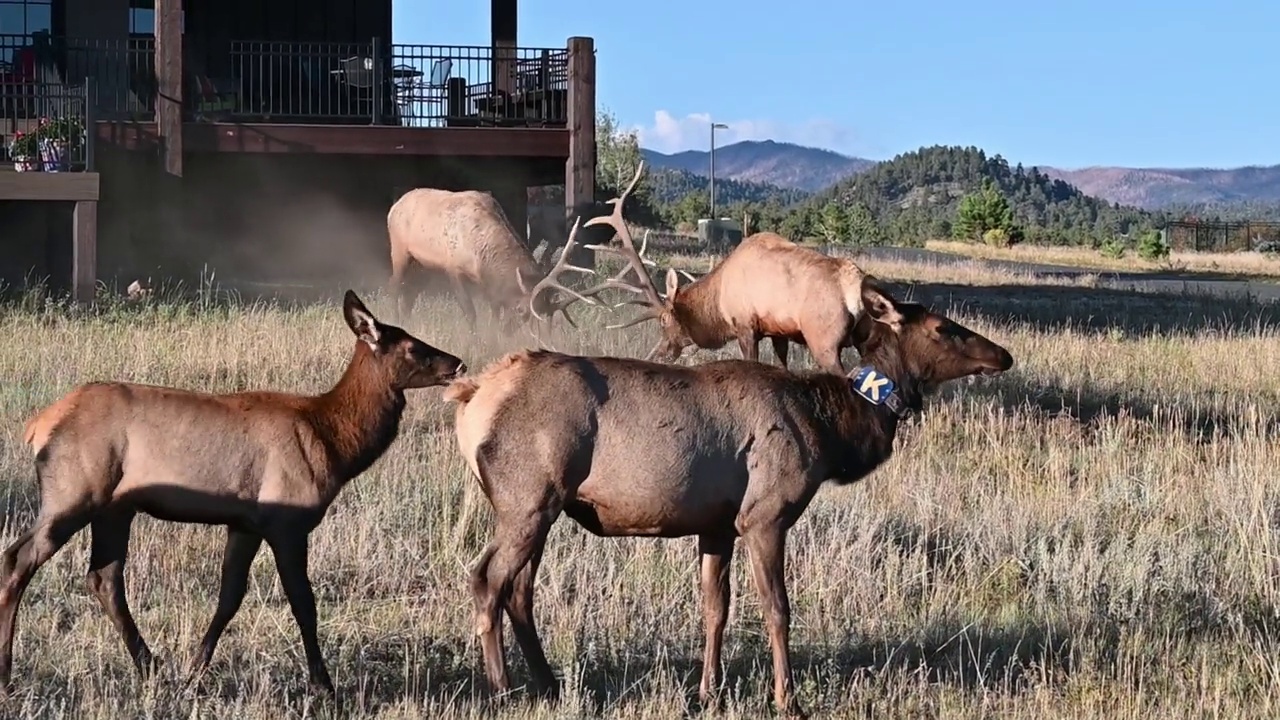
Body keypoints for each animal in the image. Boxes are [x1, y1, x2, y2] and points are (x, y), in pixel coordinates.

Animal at [0, 288, 468, 691]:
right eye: (413, 347)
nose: (459, 364)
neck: (335, 442)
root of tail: (37, 426)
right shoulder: (286, 519)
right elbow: (304, 602)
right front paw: (324, 685)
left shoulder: (245, 523)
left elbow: (230, 596)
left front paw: (194, 670)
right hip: (74, 489)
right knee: (19, 558)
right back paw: (8, 672)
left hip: (115, 507)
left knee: (103, 577)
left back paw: (152, 666)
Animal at [445, 278, 1013, 712]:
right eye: (943, 328)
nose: (1003, 355)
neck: (833, 432)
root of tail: (472, 397)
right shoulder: (764, 515)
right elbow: (777, 608)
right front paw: (787, 699)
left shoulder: (716, 524)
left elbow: (715, 608)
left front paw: (708, 693)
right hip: (528, 498)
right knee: (487, 578)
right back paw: (503, 689)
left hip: (543, 507)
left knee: (520, 590)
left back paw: (548, 684)